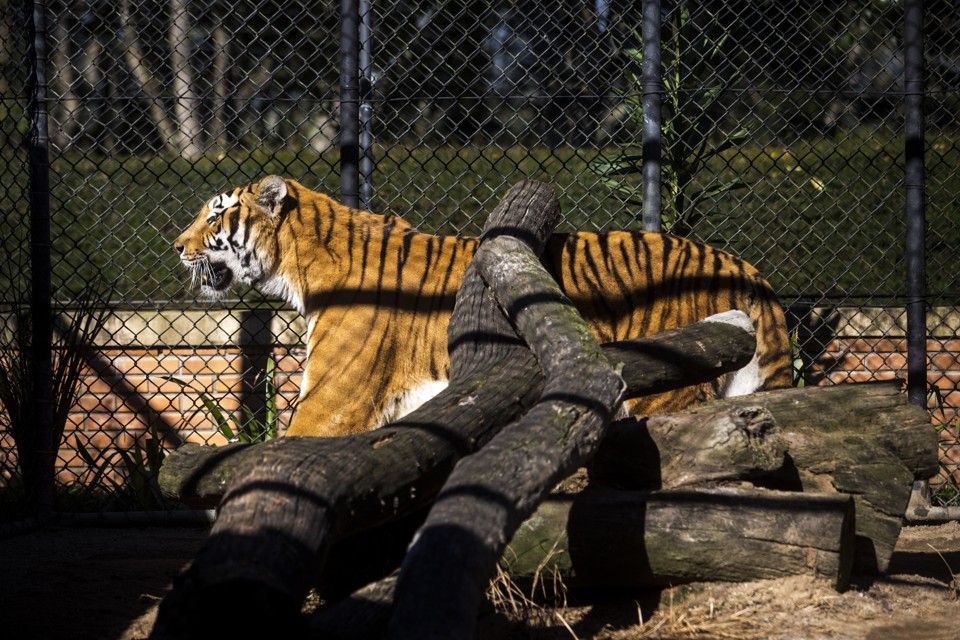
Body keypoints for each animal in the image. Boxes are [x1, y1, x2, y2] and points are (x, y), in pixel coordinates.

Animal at [174, 175, 792, 437]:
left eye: (214, 216)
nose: (175, 246)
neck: (301, 268)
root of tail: (744, 266)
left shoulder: (331, 405)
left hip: (667, 388)